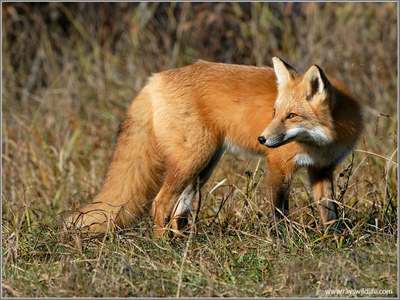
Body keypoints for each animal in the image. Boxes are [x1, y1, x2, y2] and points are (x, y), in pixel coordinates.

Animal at [68, 57, 362, 236]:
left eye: (291, 116)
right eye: (275, 112)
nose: (262, 139)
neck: (321, 142)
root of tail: (155, 79)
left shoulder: (322, 170)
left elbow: (330, 213)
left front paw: (334, 242)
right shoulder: (278, 166)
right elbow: (279, 213)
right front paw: (285, 242)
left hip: (203, 167)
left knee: (179, 209)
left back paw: (182, 243)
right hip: (193, 159)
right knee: (160, 203)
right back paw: (162, 245)